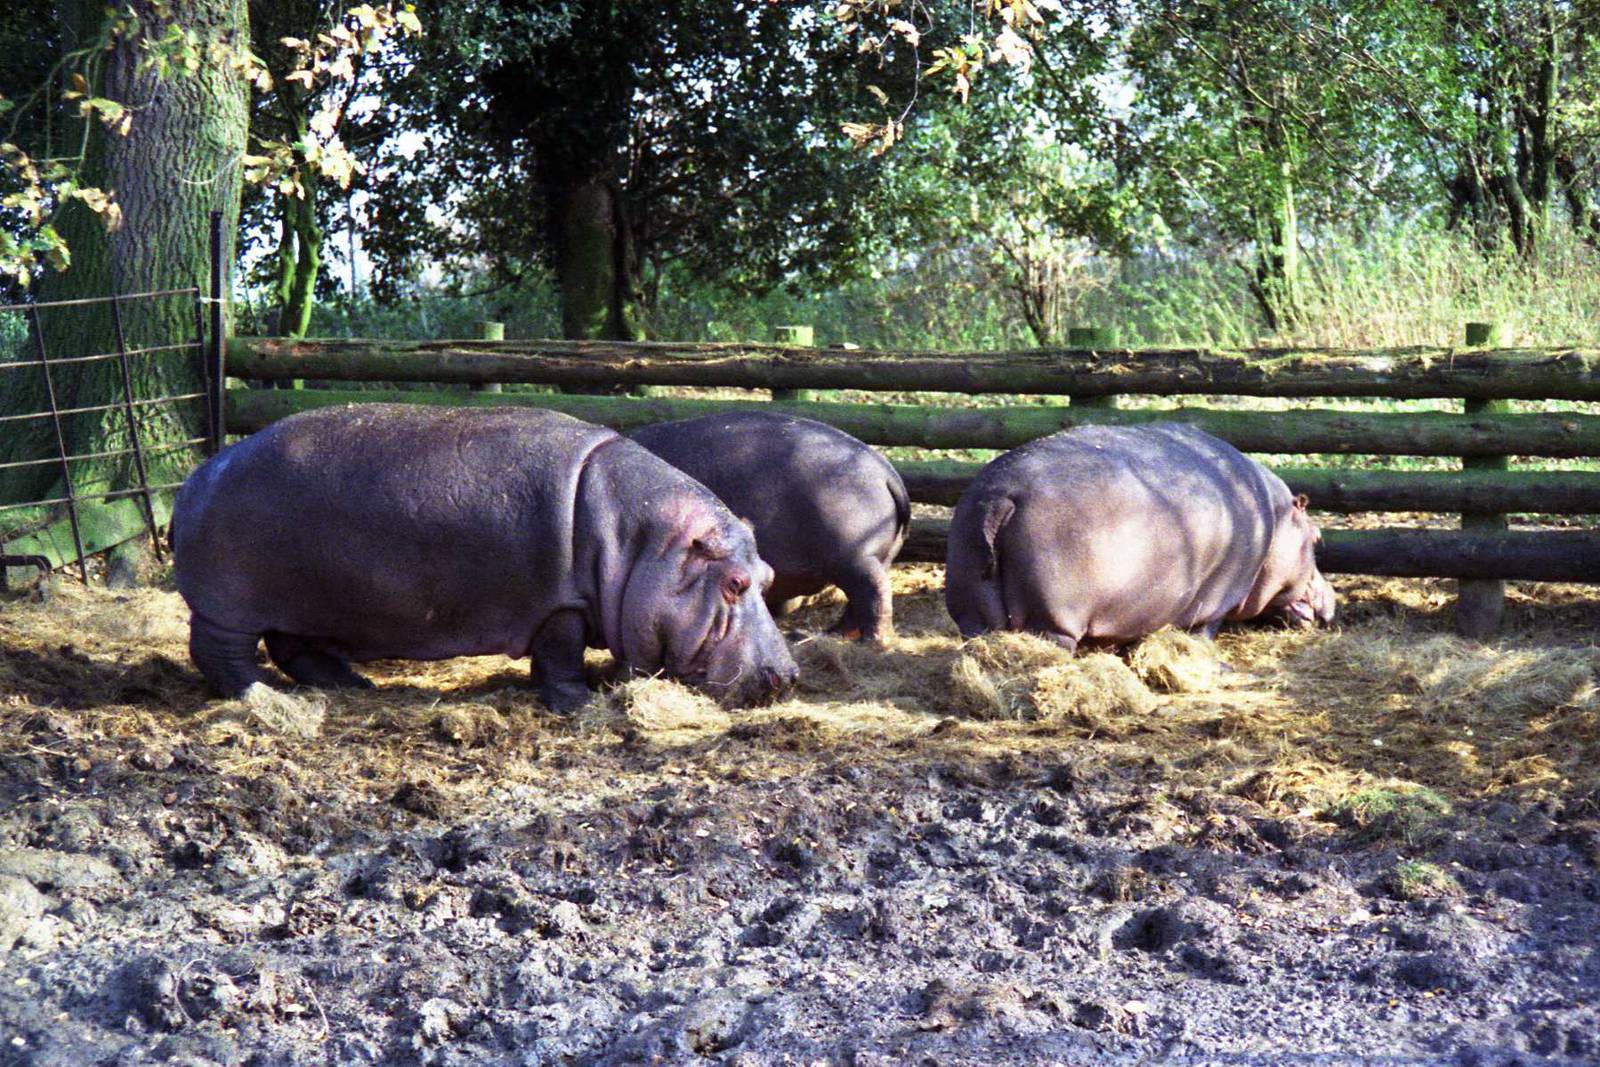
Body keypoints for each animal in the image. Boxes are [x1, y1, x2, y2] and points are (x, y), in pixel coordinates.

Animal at [171, 404, 799, 711]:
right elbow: (561, 656)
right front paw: (578, 702)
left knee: (294, 648)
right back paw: (262, 697)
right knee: (220, 653)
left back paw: (355, 685)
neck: (644, 541)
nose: (789, 675)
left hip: (309, 602)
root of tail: (196, 478)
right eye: (735, 582)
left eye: (768, 575)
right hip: (230, 602)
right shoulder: (560, 603)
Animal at [629, 412, 909, 643]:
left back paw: (871, 642)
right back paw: (831, 635)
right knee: (859, 601)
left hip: (855, 558)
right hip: (870, 559)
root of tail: (887, 472)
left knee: (874, 591)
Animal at [945, 423, 1336, 648]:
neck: (1276, 518)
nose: (1333, 599)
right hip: (1052, 620)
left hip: (971, 608)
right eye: (1317, 538)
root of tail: (1000, 498)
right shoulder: (1220, 597)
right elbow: (1205, 630)